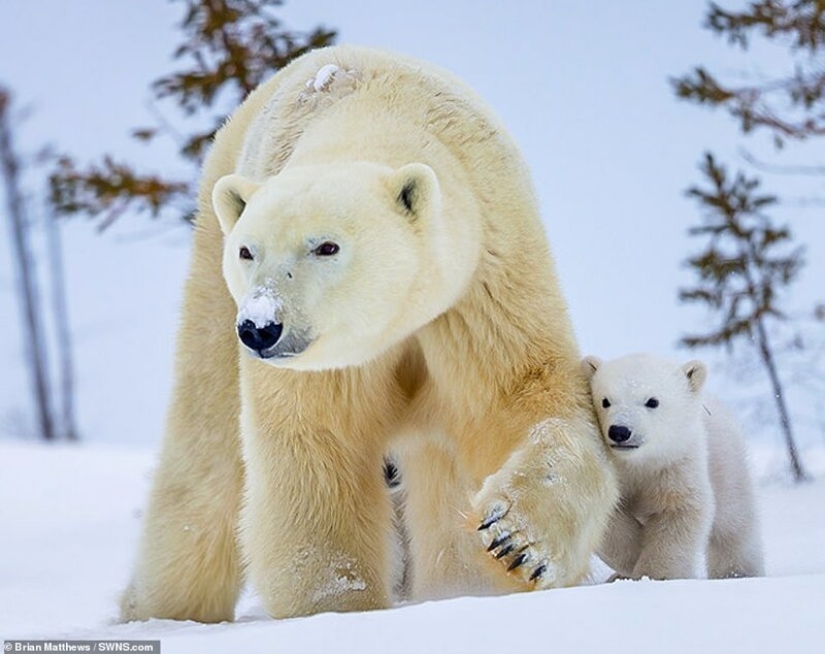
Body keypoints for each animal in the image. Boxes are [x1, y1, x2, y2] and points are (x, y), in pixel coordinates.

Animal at [120, 45, 617, 622]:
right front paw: (339, 606)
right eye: (248, 251)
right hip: (210, 277)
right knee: (205, 454)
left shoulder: (483, 286)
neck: (376, 111)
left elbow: (526, 396)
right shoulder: (327, 361)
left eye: (326, 246)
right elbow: (317, 451)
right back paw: (159, 609)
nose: (261, 327)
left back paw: (459, 585)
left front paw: (514, 541)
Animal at [581, 353, 764, 581]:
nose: (620, 431)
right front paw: (635, 555)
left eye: (652, 401)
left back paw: (737, 573)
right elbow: (606, 518)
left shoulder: (676, 464)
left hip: (726, 464)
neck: (638, 463)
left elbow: (679, 512)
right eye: (605, 401)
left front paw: (655, 574)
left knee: (734, 525)